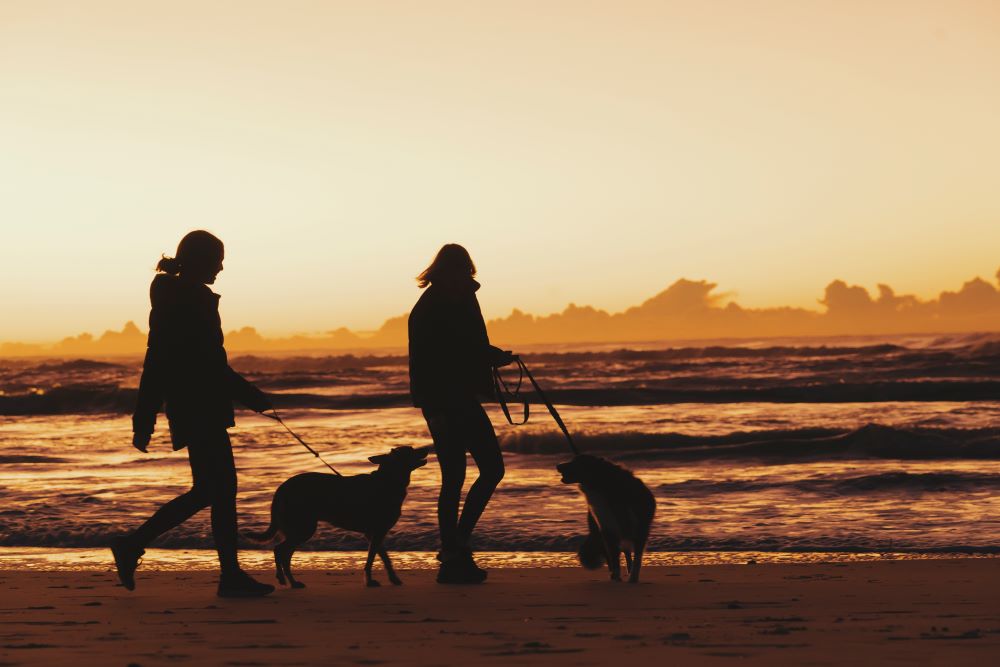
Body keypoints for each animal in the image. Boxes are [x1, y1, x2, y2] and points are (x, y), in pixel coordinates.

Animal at [252, 446, 428, 588]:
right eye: (409, 450)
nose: (426, 448)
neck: (388, 481)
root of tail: (281, 488)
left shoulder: (374, 533)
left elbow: (384, 558)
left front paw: (393, 578)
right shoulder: (377, 531)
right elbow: (371, 559)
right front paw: (370, 581)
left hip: (299, 529)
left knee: (284, 554)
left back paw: (291, 582)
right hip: (303, 528)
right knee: (280, 550)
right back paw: (286, 579)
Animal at [556, 454, 656, 584]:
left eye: (576, 462)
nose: (557, 465)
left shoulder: (640, 529)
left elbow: (637, 558)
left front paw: (633, 577)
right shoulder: (608, 528)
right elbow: (614, 557)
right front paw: (616, 576)